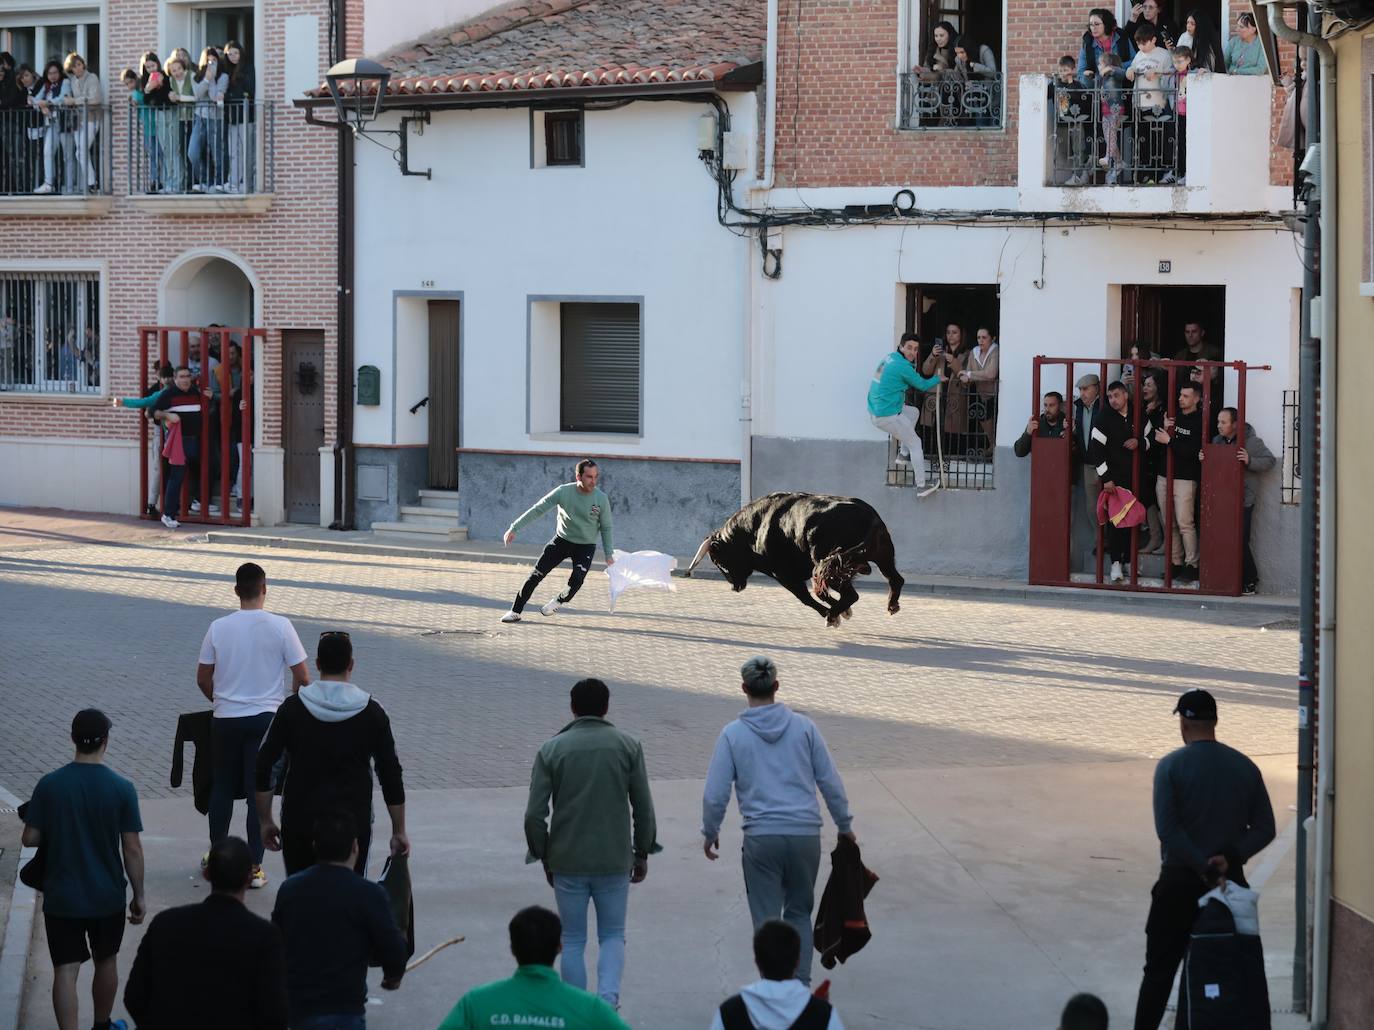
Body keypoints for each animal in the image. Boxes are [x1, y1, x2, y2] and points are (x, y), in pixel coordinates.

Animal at [684, 494, 901, 628]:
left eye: (719, 562)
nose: (734, 587)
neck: (753, 530)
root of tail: (870, 517)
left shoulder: (783, 575)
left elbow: (806, 598)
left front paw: (832, 615)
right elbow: (822, 595)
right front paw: (843, 612)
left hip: (832, 566)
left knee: (851, 594)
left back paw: (832, 616)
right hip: (881, 557)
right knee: (895, 579)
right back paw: (890, 606)